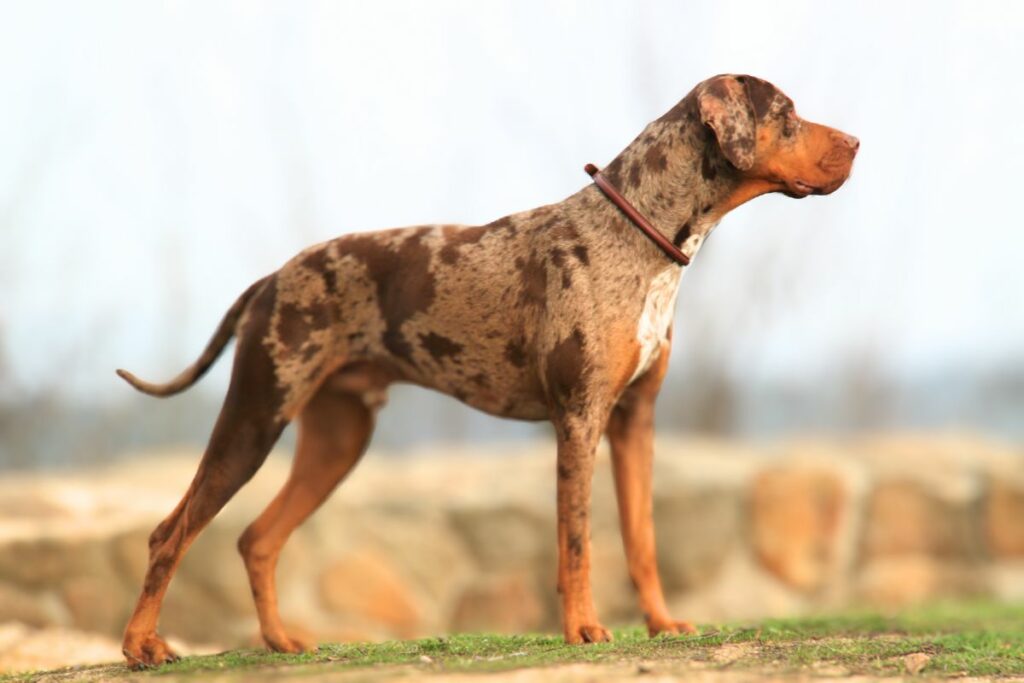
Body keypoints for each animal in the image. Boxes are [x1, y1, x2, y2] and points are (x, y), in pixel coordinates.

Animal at [117, 74, 856, 667]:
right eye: (788, 112)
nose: (856, 141)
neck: (636, 238)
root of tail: (272, 278)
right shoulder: (578, 420)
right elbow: (577, 541)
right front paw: (583, 628)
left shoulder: (634, 423)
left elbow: (642, 540)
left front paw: (661, 623)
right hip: (255, 417)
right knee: (169, 532)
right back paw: (140, 645)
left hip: (337, 441)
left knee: (257, 539)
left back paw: (278, 640)